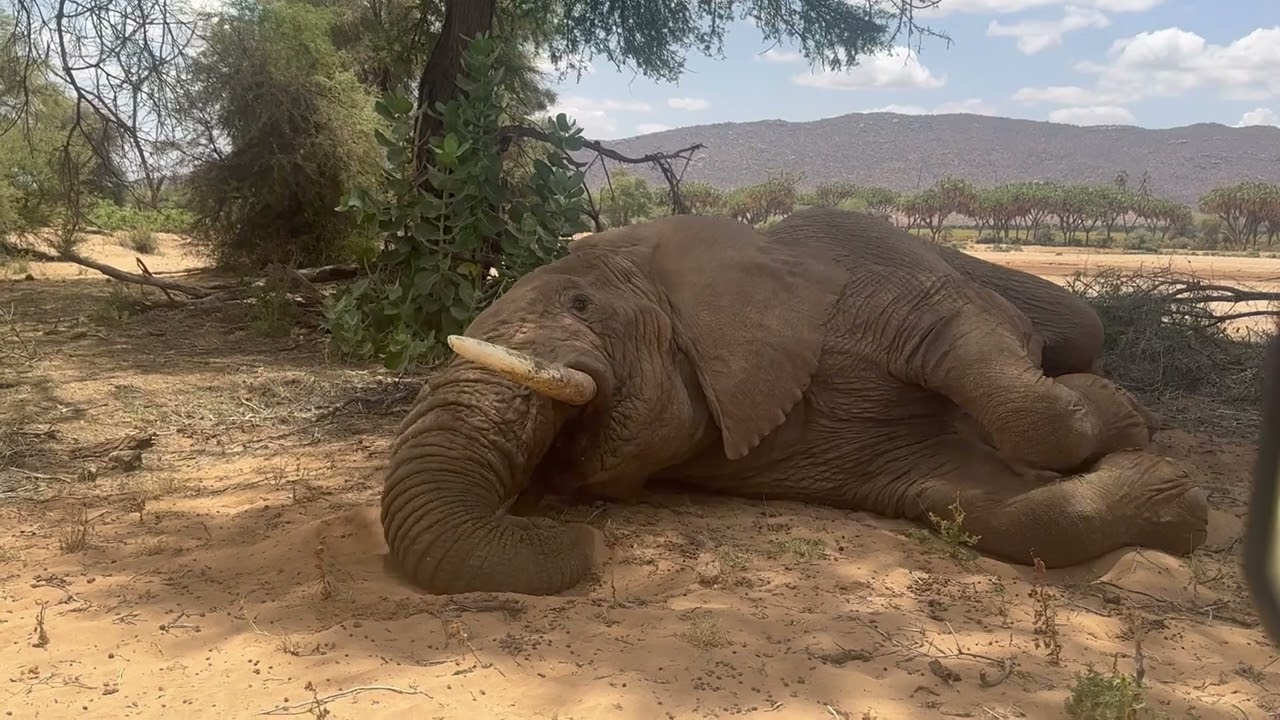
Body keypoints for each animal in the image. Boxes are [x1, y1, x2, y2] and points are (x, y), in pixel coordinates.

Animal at [380, 206, 1209, 596]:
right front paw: (1177, 505)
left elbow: (981, 353)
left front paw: (1124, 423)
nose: (588, 545)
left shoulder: (874, 290)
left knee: (1073, 324)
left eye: (582, 305)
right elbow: (982, 505)